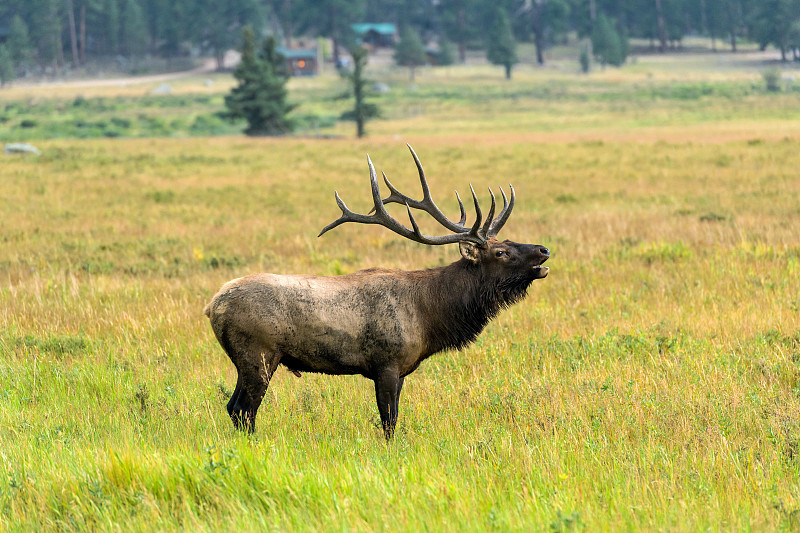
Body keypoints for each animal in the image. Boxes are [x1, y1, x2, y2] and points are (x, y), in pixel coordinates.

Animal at [203, 144, 548, 436]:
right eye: (500, 252)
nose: (543, 250)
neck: (429, 316)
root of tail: (212, 306)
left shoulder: (402, 369)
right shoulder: (387, 363)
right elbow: (389, 421)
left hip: (246, 360)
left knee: (233, 407)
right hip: (259, 354)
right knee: (245, 410)